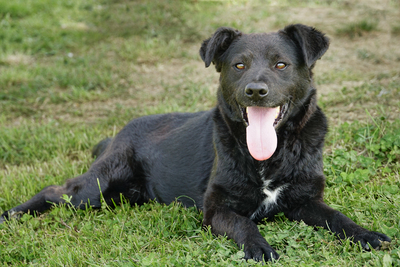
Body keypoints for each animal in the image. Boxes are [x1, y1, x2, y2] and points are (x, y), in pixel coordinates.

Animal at [0, 24, 390, 262]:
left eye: (281, 65)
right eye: (239, 65)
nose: (255, 91)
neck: (270, 156)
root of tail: (120, 132)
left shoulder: (306, 201)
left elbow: (339, 218)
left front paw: (367, 235)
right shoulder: (215, 210)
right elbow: (245, 224)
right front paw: (259, 247)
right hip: (96, 188)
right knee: (54, 191)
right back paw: (11, 215)